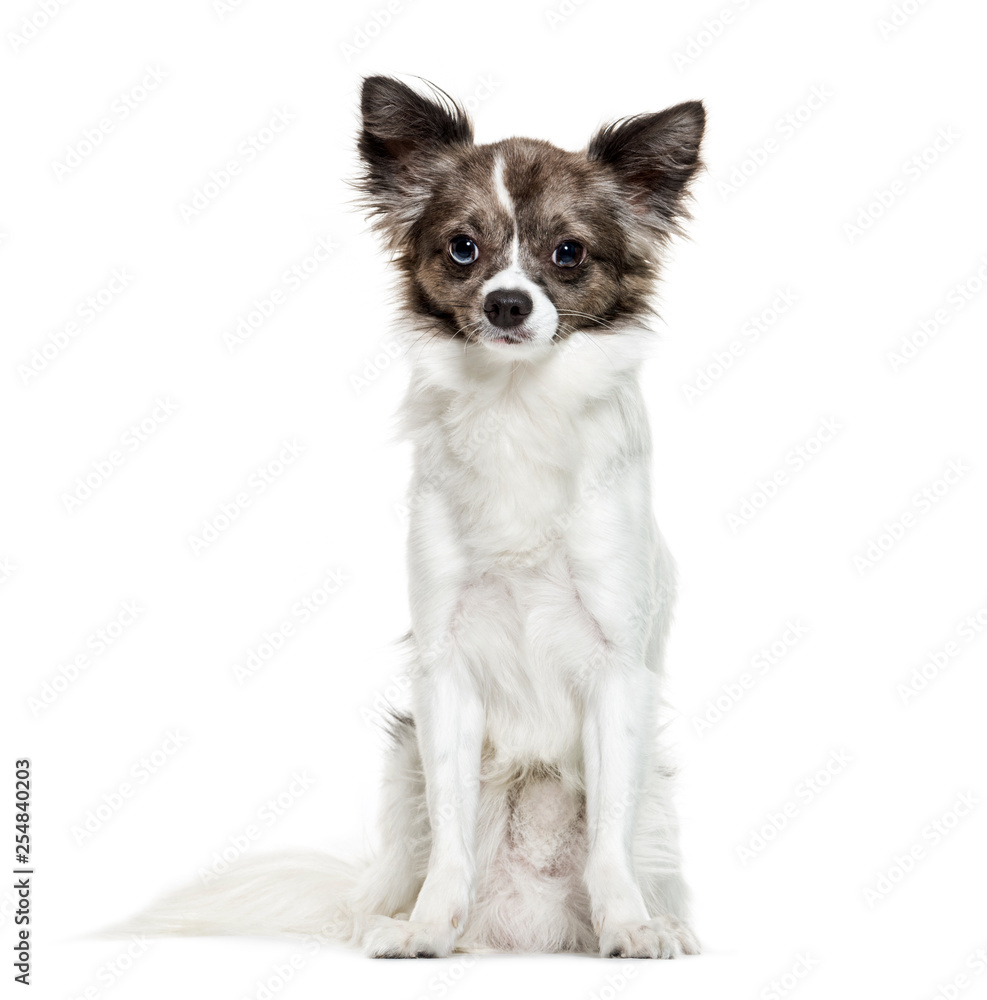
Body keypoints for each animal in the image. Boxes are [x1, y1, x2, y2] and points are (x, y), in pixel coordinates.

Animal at [121, 74, 712, 956]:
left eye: (568, 254)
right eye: (463, 249)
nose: (507, 305)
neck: (515, 409)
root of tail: (524, 927)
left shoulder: (617, 665)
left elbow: (607, 835)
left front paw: (631, 928)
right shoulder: (444, 673)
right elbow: (451, 833)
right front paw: (428, 927)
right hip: (401, 766)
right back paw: (398, 920)